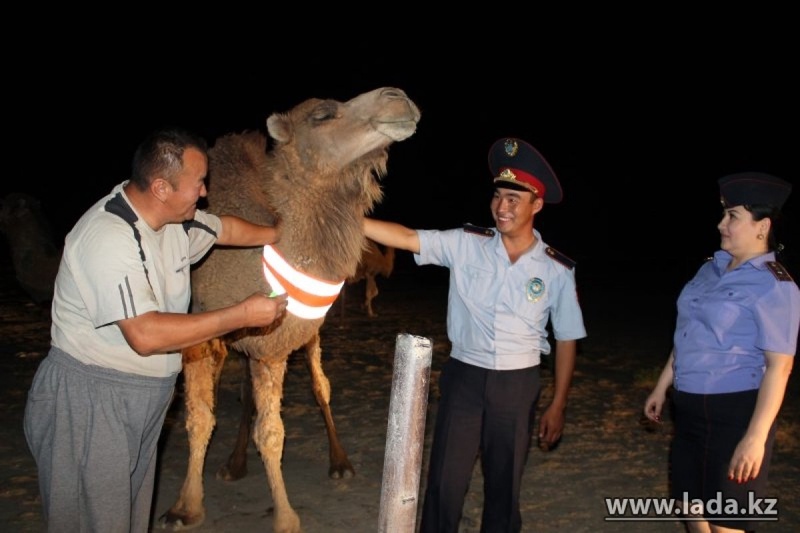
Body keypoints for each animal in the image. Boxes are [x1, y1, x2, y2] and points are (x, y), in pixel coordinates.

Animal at [156, 85, 418, 528]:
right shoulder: (204, 334)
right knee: (245, 394)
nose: (398, 97)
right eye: (323, 114)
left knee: (320, 386)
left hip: (309, 331)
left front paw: (285, 517)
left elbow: (272, 431)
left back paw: (340, 463)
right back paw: (234, 464)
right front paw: (184, 507)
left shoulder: (275, 343)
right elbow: (200, 417)